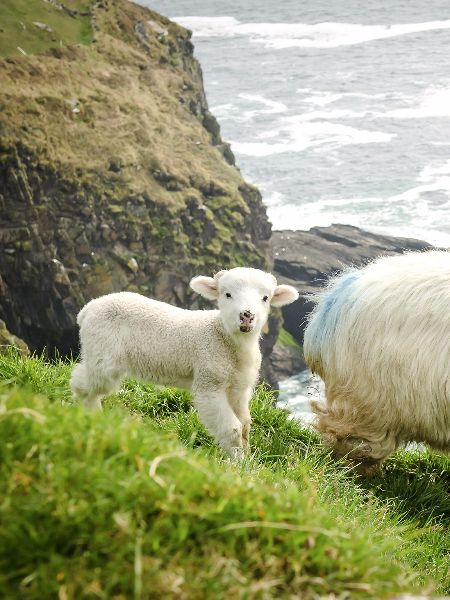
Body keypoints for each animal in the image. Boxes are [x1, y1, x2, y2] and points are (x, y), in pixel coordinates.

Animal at [70, 268, 298, 454]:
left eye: (265, 298)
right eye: (227, 294)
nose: (247, 316)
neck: (224, 338)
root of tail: (88, 308)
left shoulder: (239, 388)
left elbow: (245, 427)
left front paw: (247, 461)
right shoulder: (209, 381)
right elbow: (232, 429)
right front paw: (236, 465)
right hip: (102, 350)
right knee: (86, 382)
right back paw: (87, 414)